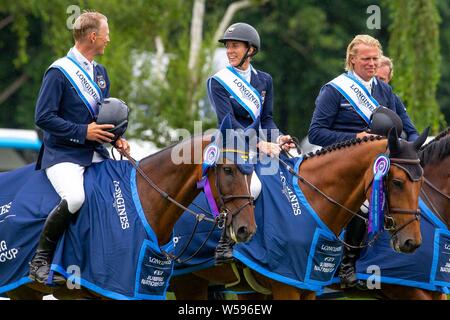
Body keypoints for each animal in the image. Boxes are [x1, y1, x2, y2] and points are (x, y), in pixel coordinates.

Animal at [170, 127, 428, 300]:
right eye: (397, 182)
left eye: (422, 182)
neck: (311, 201)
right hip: (186, 281)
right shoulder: (286, 285)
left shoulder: (308, 286)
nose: (412, 242)